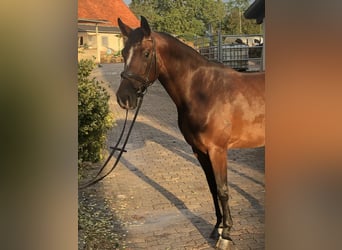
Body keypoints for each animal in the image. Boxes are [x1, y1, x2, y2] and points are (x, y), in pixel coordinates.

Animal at [115, 16, 264, 241]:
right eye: (124, 53)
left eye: (146, 53)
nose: (124, 98)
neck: (204, 91)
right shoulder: (199, 151)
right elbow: (212, 188)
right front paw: (218, 227)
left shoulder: (217, 150)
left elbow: (223, 189)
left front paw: (226, 234)